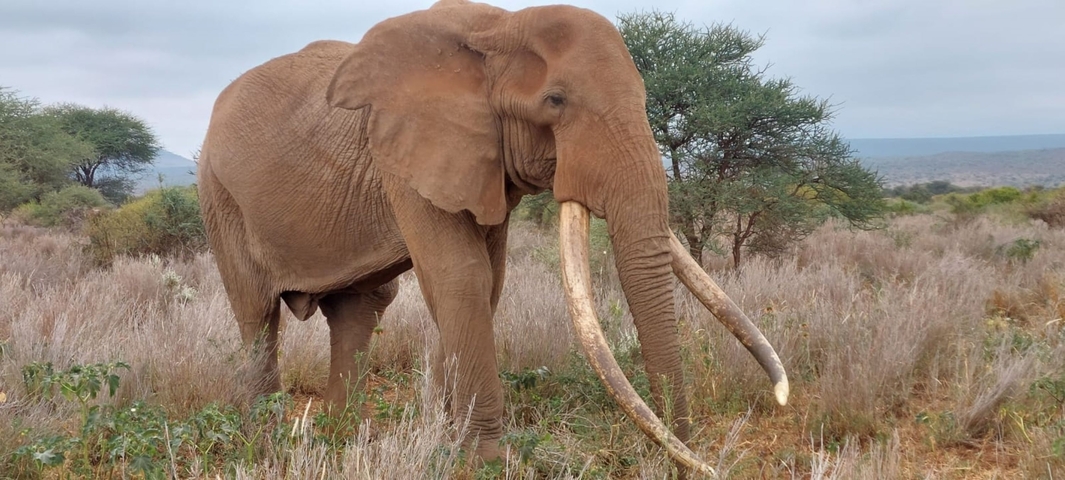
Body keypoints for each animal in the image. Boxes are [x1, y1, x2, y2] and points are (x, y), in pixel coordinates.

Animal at [197, 0, 788, 475]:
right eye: (555, 101)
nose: (692, 462)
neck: (498, 26)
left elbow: (491, 281)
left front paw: (449, 440)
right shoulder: (408, 153)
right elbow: (461, 278)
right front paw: (484, 459)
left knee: (360, 308)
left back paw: (344, 439)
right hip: (219, 195)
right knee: (257, 313)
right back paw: (266, 443)